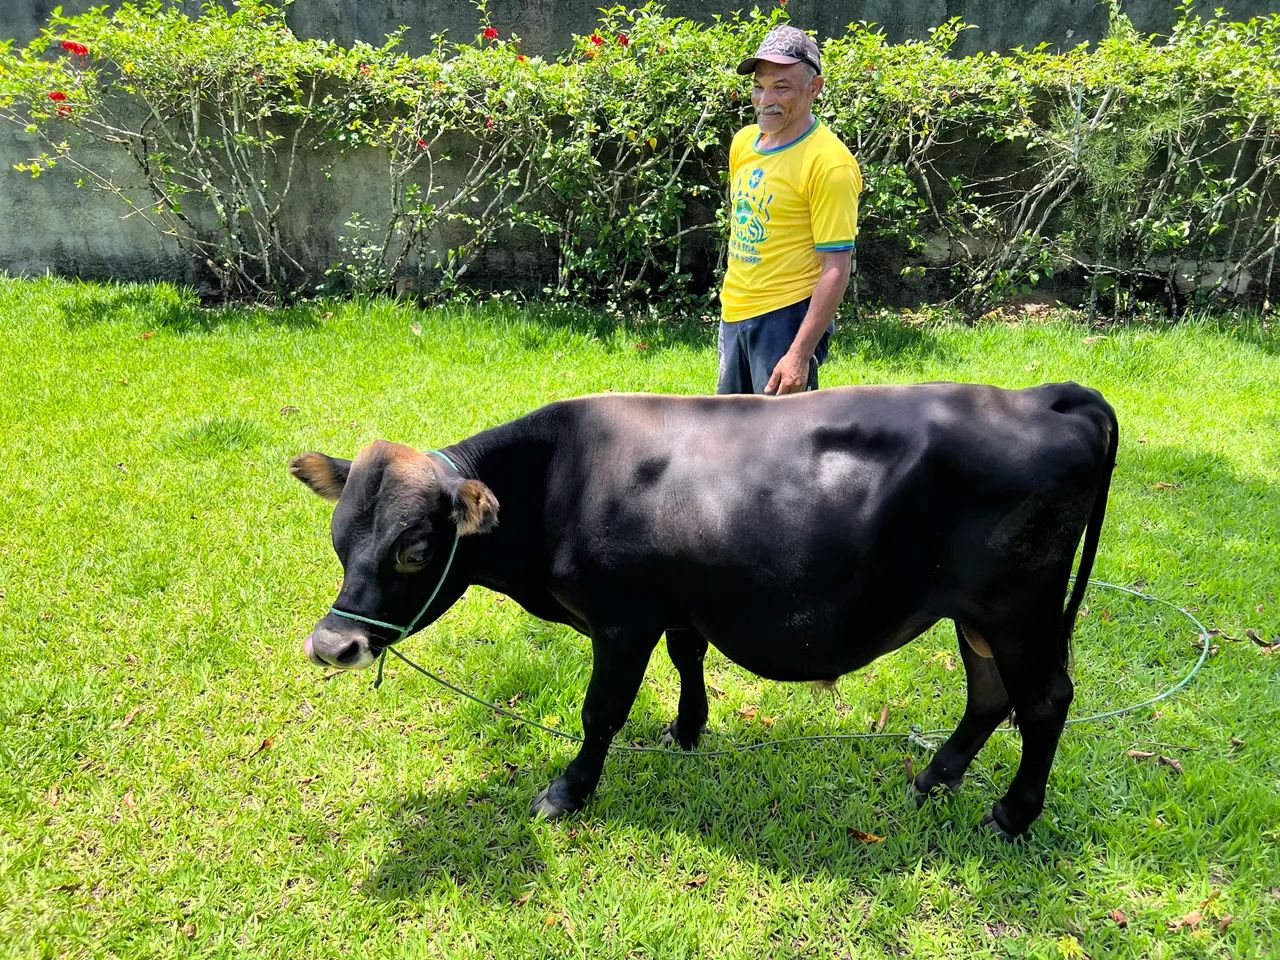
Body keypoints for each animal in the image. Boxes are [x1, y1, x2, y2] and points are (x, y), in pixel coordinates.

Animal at [290, 381, 1117, 838]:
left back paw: (1013, 813)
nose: (332, 645)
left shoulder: (621, 619)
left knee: (1044, 700)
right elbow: (688, 656)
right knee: (990, 696)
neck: (563, 477)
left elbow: (600, 713)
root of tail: (1042, 396)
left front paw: (569, 790)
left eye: (415, 548)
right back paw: (934, 780)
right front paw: (688, 729)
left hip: (1019, 607)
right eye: (339, 539)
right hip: (978, 616)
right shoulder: (677, 605)